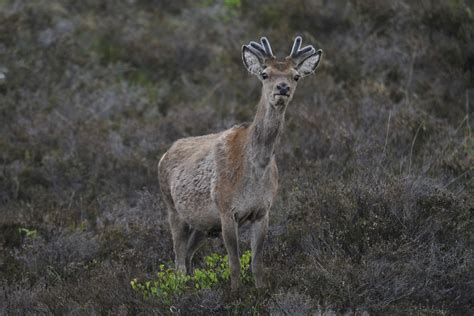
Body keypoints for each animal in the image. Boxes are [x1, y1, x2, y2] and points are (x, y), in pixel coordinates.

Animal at [158, 35, 322, 292]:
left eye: (295, 76)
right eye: (265, 74)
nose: (282, 88)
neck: (255, 169)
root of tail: (163, 155)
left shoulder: (263, 211)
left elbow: (257, 263)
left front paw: (260, 291)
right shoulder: (226, 209)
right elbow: (234, 263)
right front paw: (235, 293)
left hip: (202, 224)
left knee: (188, 256)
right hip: (172, 208)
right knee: (178, 260)